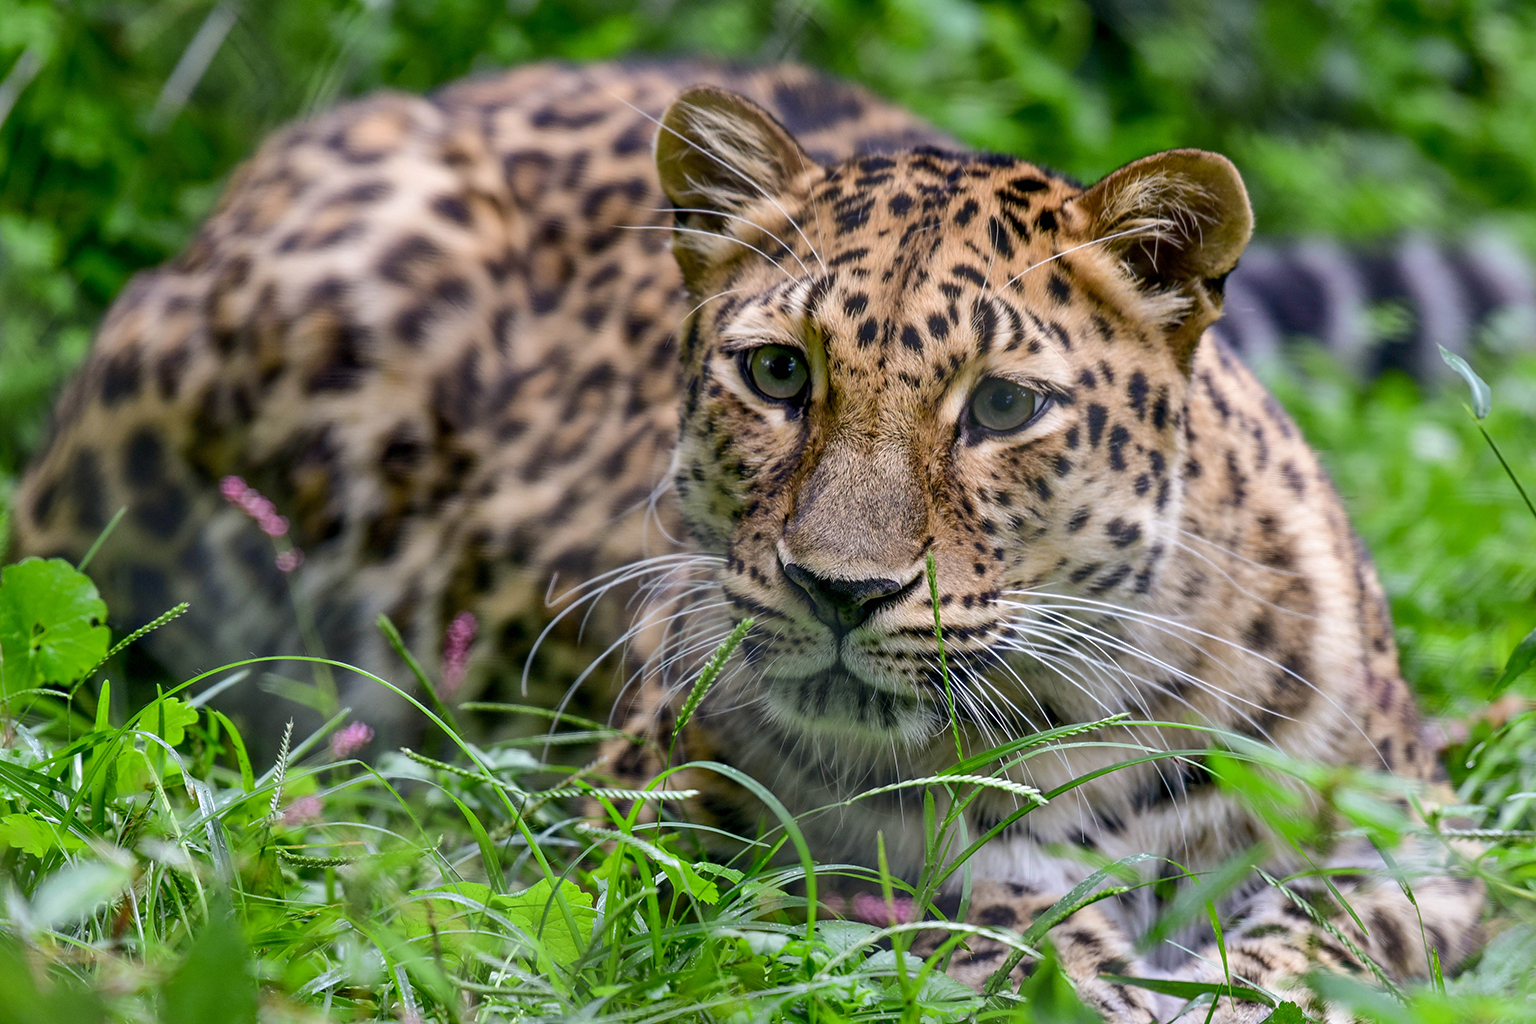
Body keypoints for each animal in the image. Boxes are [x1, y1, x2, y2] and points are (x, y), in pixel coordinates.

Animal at [6, 60, 1480, 1019]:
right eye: (779, 375)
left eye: (1004, 407)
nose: (841, 590)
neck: (1087, 718)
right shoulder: (662, 829)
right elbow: (968, 914)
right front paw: (1090, 968)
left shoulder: (1427, 845)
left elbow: (1332, 926)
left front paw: (1230, 984)